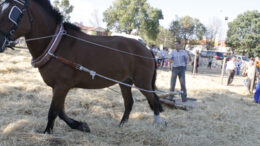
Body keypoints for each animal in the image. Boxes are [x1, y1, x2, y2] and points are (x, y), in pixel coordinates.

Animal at [0, 0, 166, 133]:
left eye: (14, 12)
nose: (0, 42)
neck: (56, 44)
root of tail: (147, 49)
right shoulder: (58, 87)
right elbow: (60, 111)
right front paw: (80, 125)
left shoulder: (62, 86)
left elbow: (53, 112)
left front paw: (47, 132)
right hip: (125, 82)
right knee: (129, 103)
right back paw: (121, 126)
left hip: (142, 83)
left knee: (153, 101)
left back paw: (158, 124)